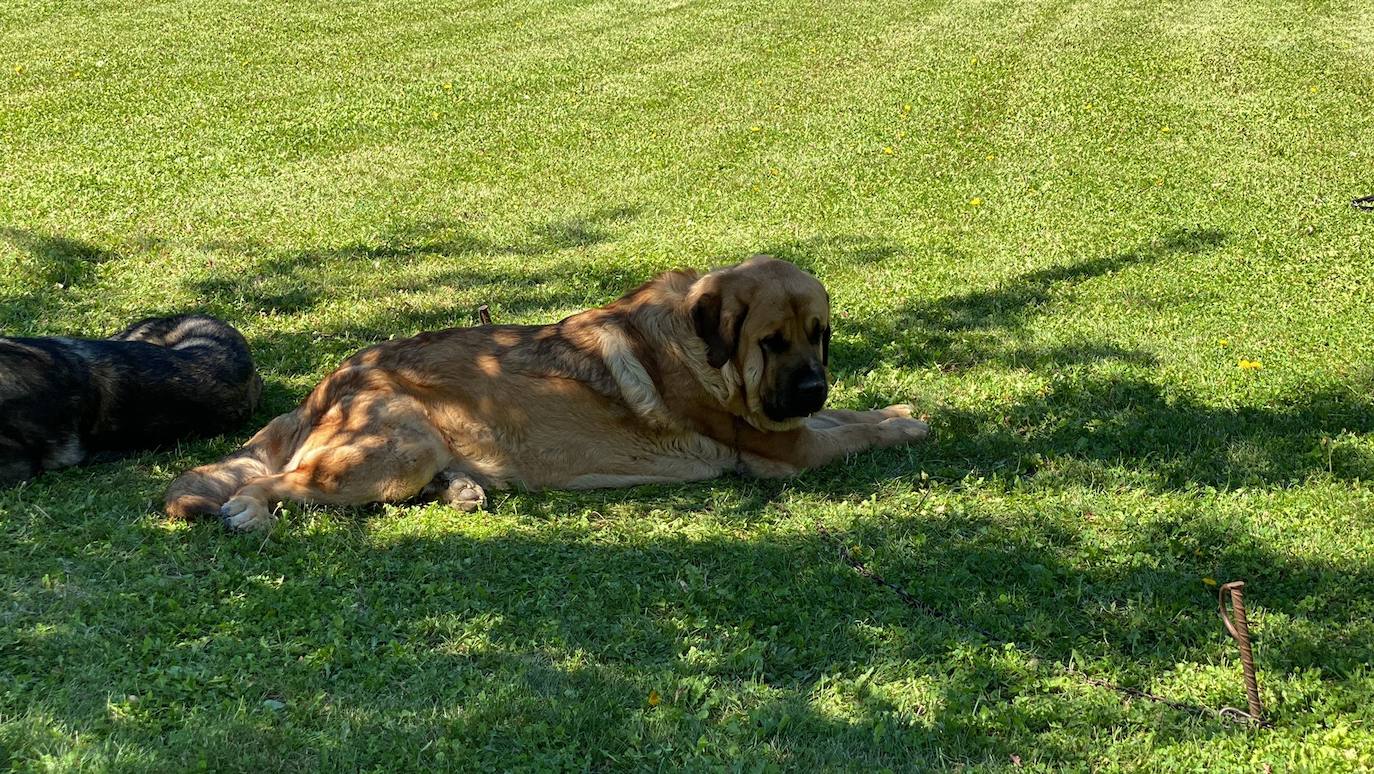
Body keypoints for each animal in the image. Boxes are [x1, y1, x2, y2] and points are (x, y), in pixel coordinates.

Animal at [166, 255, 928, 533]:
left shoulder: (792, 423)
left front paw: (893, 407)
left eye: (818, 335)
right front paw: (903, 424)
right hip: (392, 449)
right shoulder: (785, 446)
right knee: (282, 484)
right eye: (771, 342)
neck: (696, 340)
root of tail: (327, 386)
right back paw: (249, 509)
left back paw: (463, 490)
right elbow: (850, 430)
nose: (811, 384)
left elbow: (848, 414)